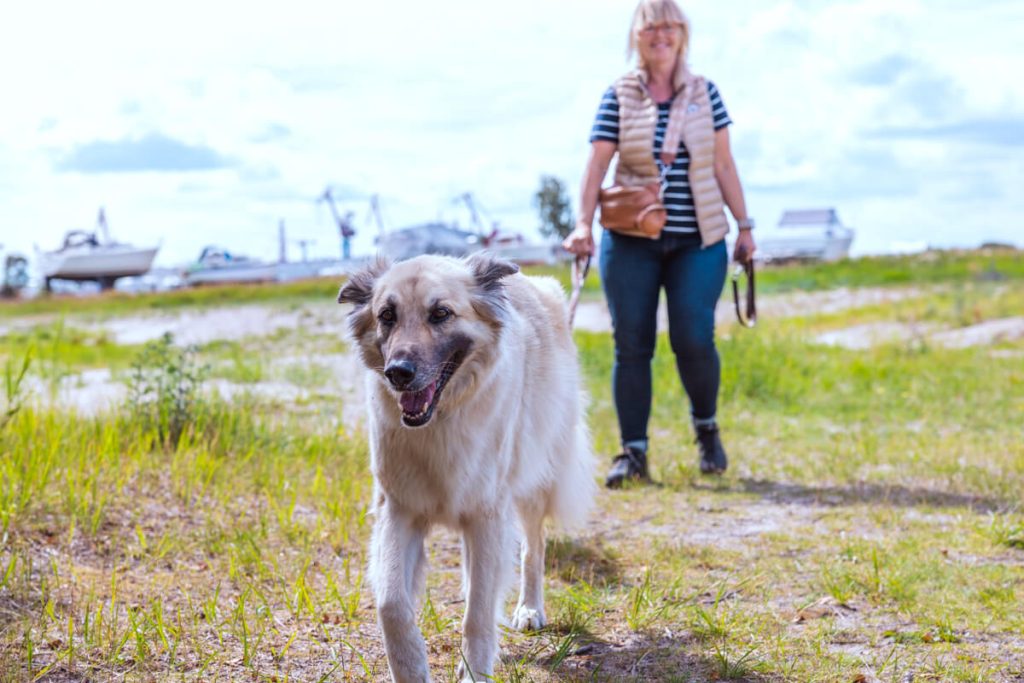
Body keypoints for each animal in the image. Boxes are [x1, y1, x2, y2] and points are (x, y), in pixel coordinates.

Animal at [337, 253, 593, 679]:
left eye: (441, 313)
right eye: (386, 315)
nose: (398, 372)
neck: (440, 420)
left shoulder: (487, 514)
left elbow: (478, 612)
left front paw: (474, 671)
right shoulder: (399, 510)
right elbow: (391, 603)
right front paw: (411, 669)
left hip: (531, 481)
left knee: (533, 548)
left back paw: (529, 608)